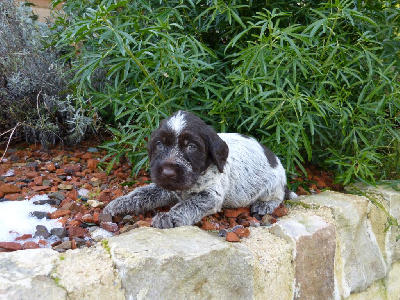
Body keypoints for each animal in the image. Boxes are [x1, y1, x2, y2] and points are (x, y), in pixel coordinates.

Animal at [103, 111, 296, 229]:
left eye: (191, 147)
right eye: (159, 144)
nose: (167, 173)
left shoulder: (211, 196)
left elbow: (188, 205)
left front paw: (169, 217)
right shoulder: (166, 188)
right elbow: (141, 194)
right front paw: (119, 204)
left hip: (273, 184)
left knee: (278, 196)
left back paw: (264, 205)